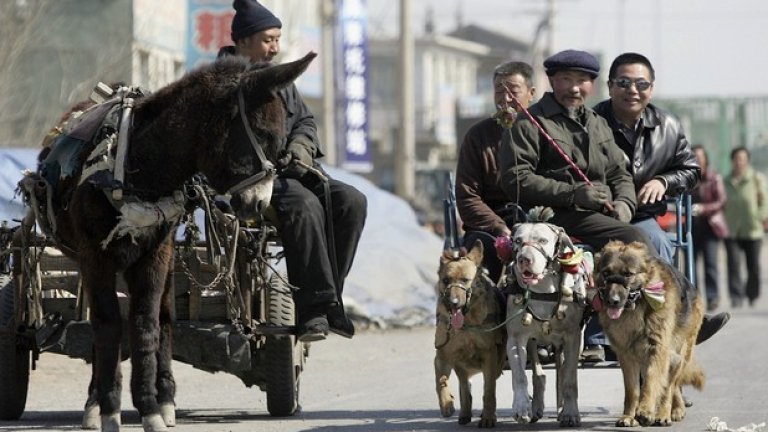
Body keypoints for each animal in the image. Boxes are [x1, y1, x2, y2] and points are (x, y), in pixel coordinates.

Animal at [436, 241, 508, 426]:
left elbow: (489, 390)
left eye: (465, 280)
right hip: (460, 365)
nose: (453, 303)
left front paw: (488, 417)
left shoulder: (490, 356)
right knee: (464, 386)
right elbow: (440, 381)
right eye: (446, 280)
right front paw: (446, 404)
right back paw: (464, 412)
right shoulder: (443, 356)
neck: (466, 324)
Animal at [498, 208, 592, 426]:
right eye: (517, 241)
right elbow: (520, 375)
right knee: (538, 373)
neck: (542, 289)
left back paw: (561, 408)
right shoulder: (516, 338)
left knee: (563, 371)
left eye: (542, 240)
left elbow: (569, 378)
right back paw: (536, 407)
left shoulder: (573, 338)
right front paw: (521, 406)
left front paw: (570, 413)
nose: (524, 259)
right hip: (534, 341)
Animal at [592, 241, 708, 426]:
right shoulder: (626, 357)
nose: (612, 301)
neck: (636, 308)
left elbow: (652, 382)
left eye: (628, 274)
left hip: (678, 354)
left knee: (669, 386)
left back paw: (666, 413)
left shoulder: (657, 350)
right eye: (606, 273)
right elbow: (632, 391)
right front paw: (629, 416)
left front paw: (645, 410)